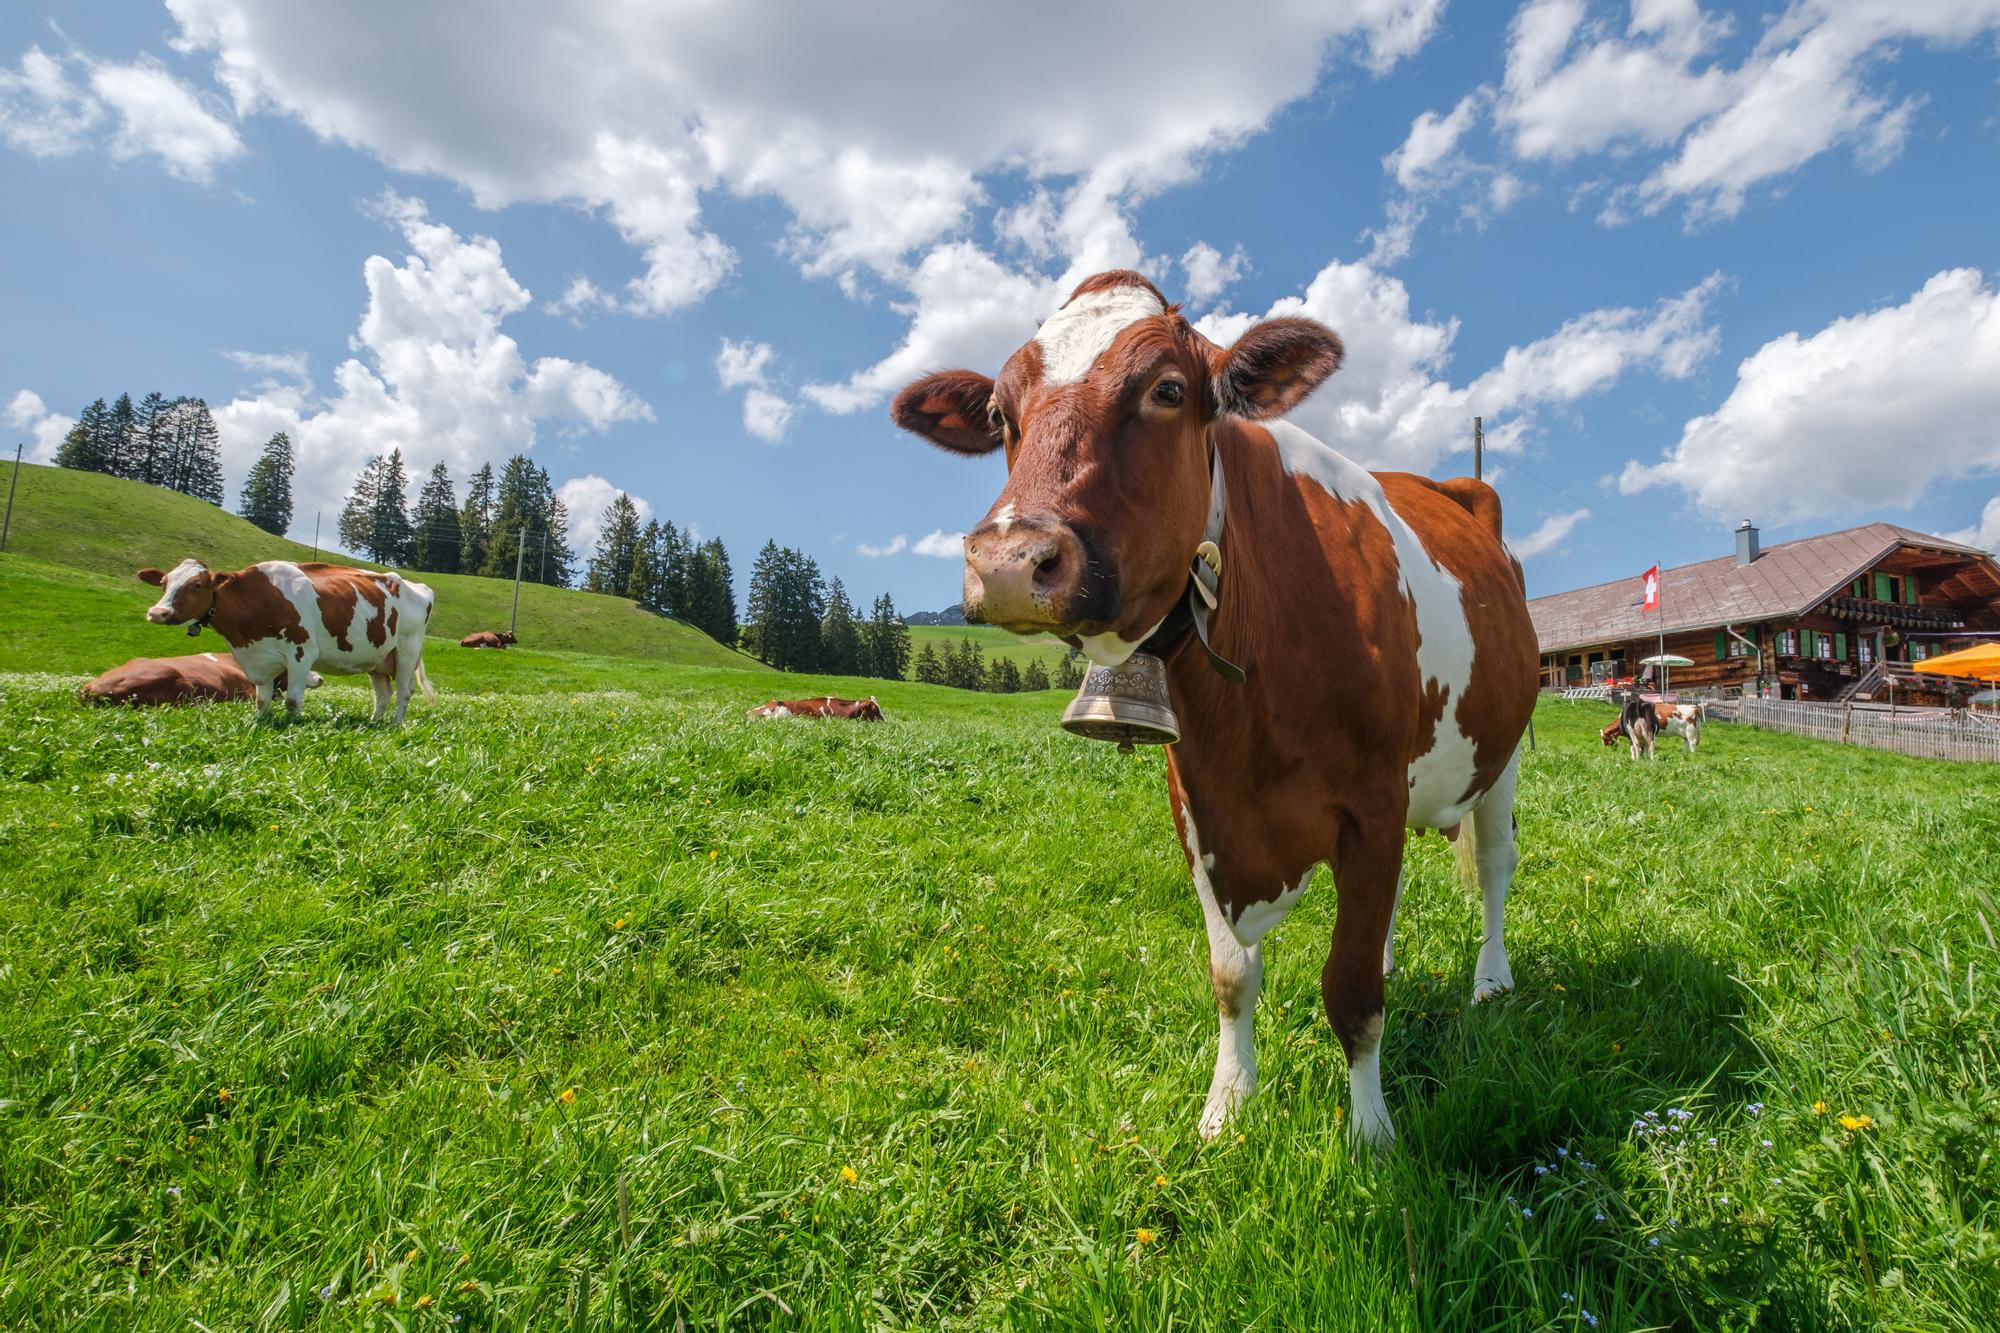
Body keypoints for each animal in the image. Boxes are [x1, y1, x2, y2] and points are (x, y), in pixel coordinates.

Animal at [141, 560, 438, 728]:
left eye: (197, 585)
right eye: (164, 583)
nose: (157, 612)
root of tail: (419, 587)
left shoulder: (301, 652)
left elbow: (293, 700)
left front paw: (292, 725)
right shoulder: (258, 659)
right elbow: (262, 700)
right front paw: (262, 722)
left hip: (406, 652)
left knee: (403, 692)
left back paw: (395, 725)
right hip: (377, 658)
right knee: (383, 694)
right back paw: (374, 723)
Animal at [900, 268, 1536, 1144]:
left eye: (1168, 389)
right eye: (1000, 412)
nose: (1007, 563)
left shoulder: (1371, 802)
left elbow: (1351, 991)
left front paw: (1371, 1133)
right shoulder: (1197, 805)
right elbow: (1231, 973)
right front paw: (1227, 1105)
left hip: (1501, 752)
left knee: (1498, 867)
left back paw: (1492, 980)